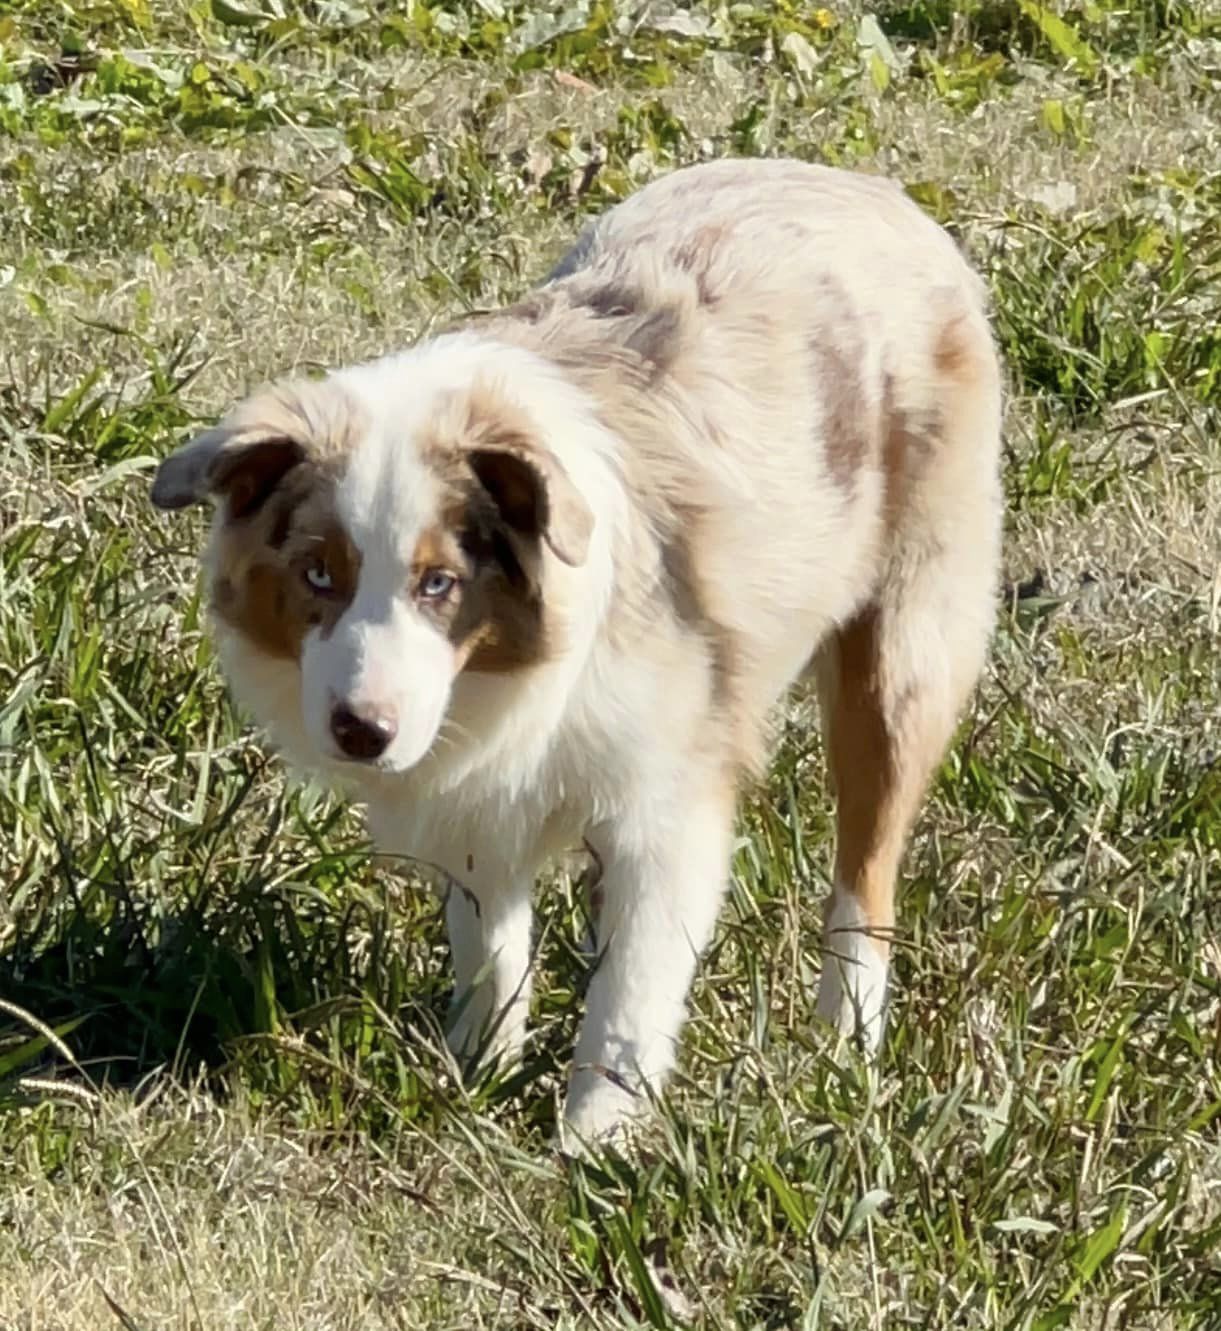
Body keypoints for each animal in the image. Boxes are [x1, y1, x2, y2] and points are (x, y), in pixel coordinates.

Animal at [149, 158, 1001, 1144]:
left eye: (438, 583)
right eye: (319, 572)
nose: (362, 731)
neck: (503, 670)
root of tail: (862, 184)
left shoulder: (671, 801)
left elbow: (633, 989)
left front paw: (593, 1139)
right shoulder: (476, 803)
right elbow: (493, 952)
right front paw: (477, 1079)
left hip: (901, 656)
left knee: (867, 873)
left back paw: (841, 1048)